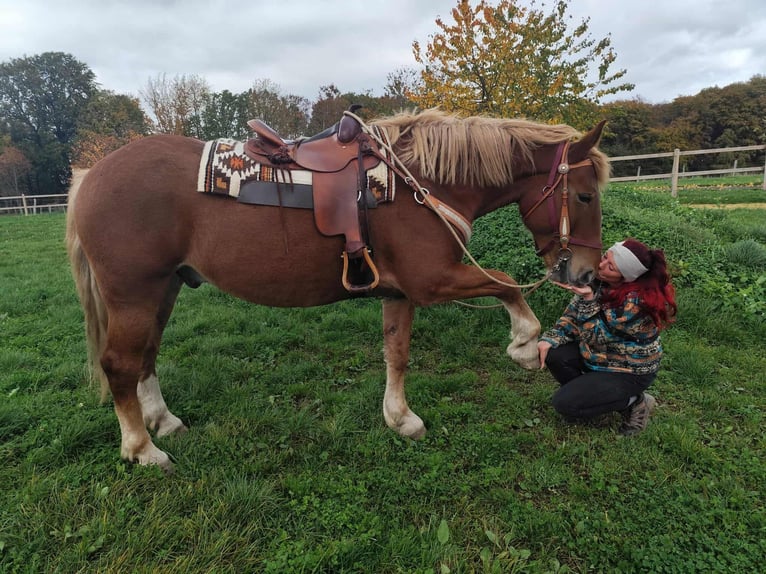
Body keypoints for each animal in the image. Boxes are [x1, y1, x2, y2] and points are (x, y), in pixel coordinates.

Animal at [66, 108, 609, 471]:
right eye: (584, 196)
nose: (586, 274)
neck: (423, 183)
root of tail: (93, 176)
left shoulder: (399, 293)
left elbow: (397, 354)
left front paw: (400, 418)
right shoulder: (432, 281)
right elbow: (507, 285)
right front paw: (524, 344)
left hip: (164, 290)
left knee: (146, 357)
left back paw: (163, 421)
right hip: (134, 294)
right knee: (119, 364)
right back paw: (142, 449)